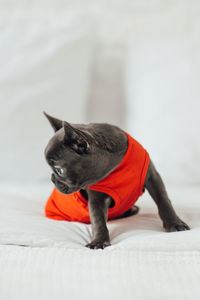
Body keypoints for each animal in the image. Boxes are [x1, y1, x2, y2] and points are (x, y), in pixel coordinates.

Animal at [43, 112, 189, 248]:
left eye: (59, 170)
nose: (52, 178)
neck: (116, 164)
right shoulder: (96, 198)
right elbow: (98, 220)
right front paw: (99, 241)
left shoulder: (153, 178)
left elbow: (164, 201)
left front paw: (175, 223)